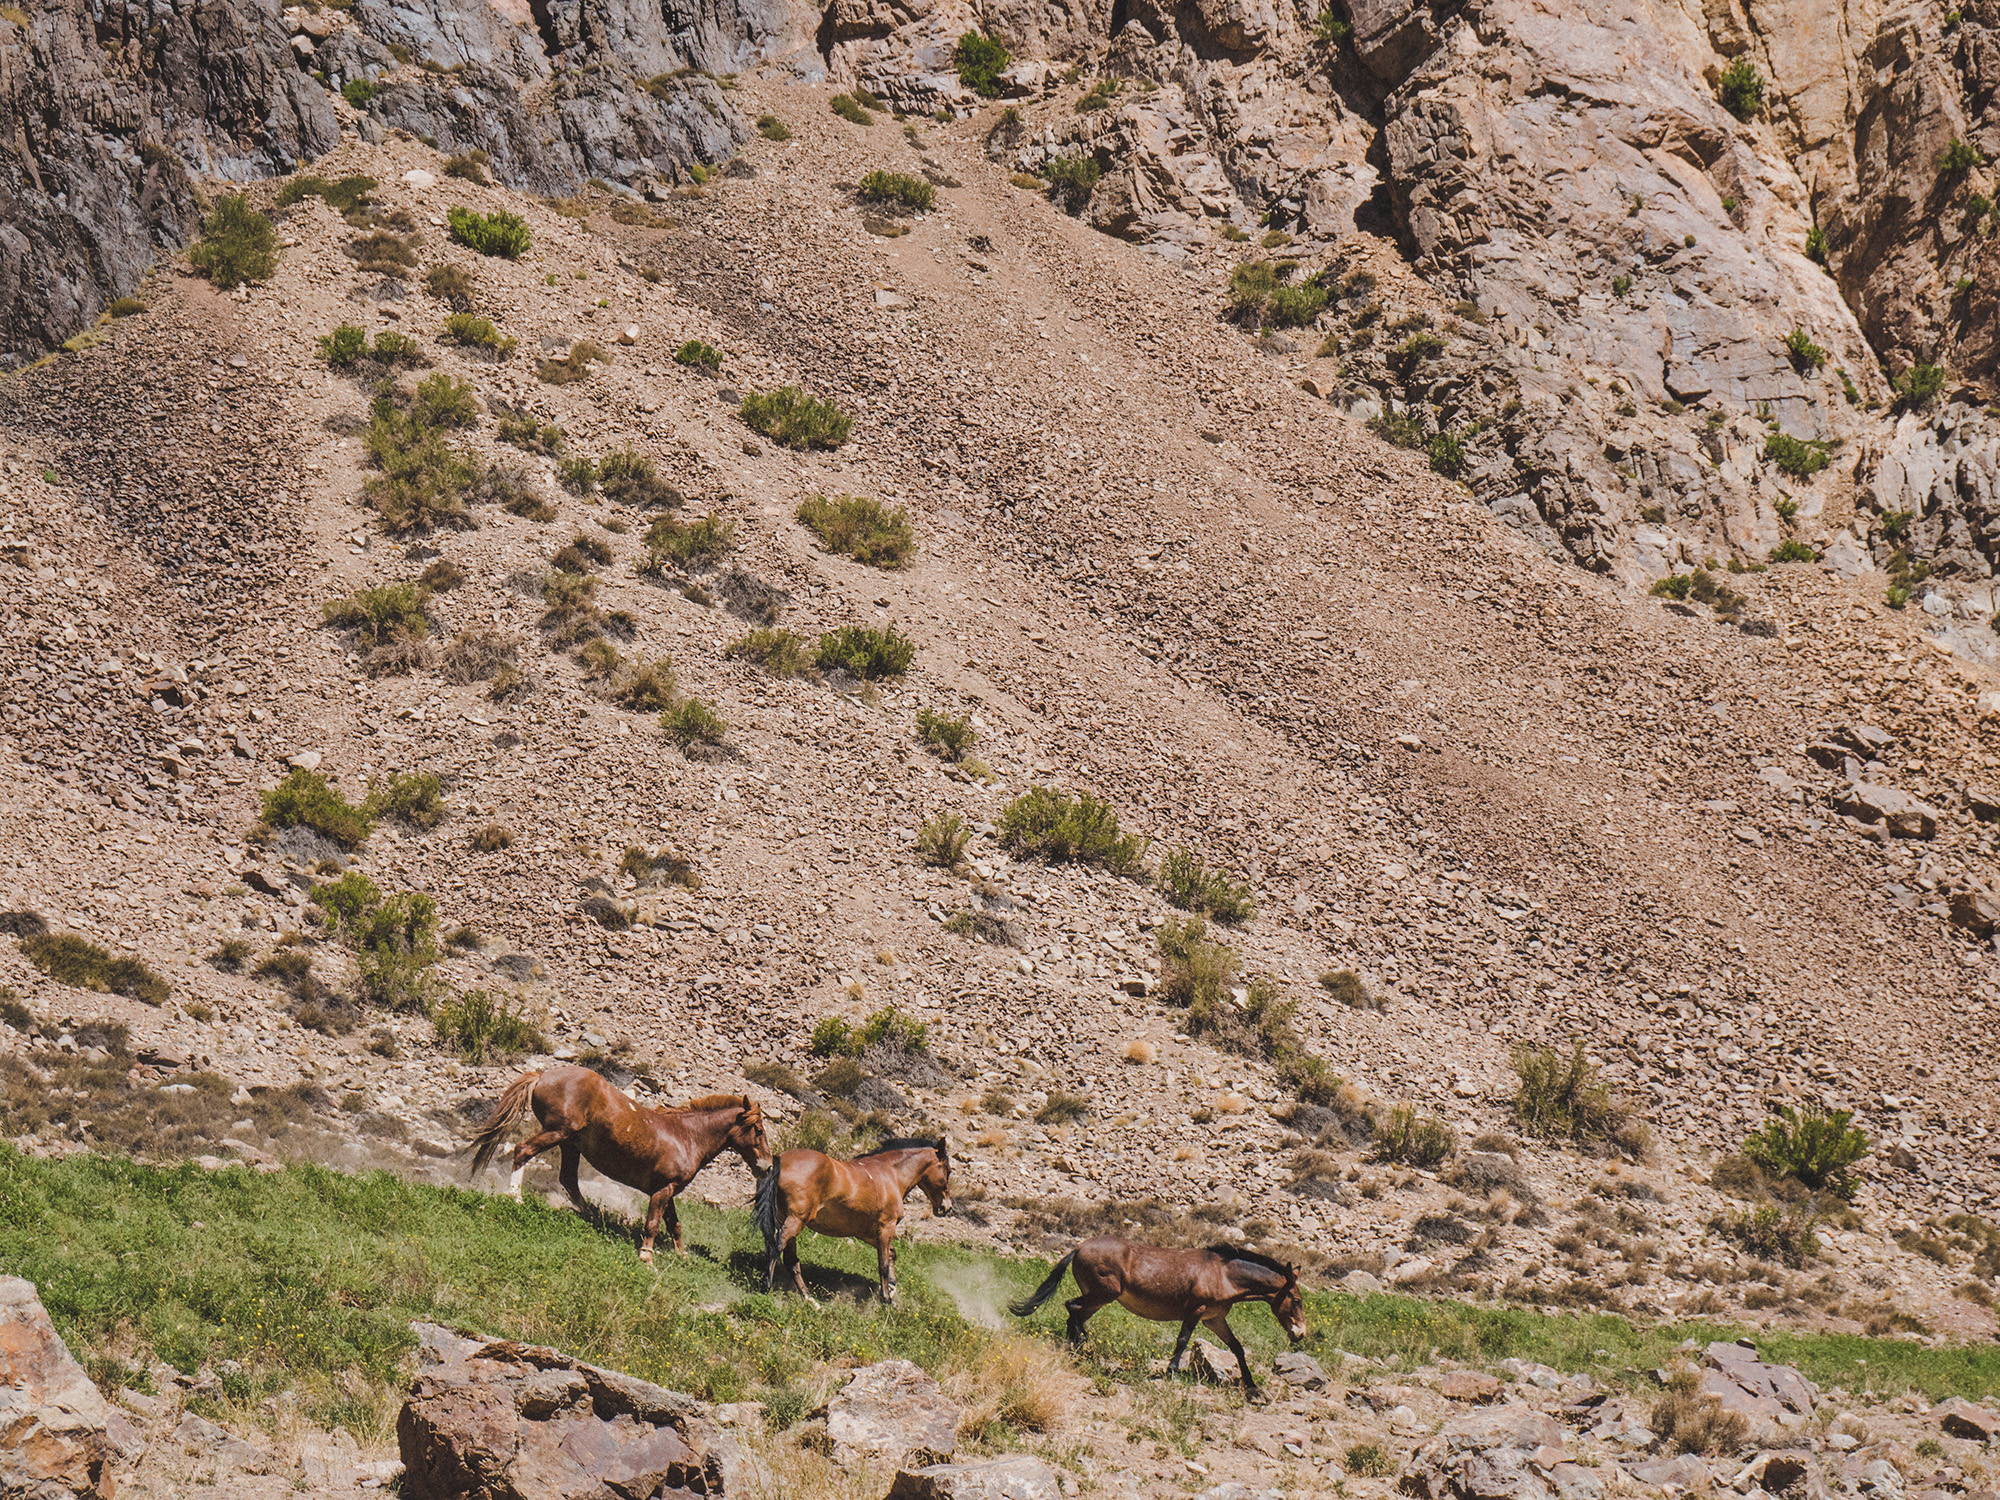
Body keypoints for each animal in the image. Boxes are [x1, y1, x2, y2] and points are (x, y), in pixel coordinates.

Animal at [468, 1072, 772, 1272]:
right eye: (758, 1130)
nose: (767, 1166)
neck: (687, 1136)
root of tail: (543, 1075)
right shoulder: (662, 1190)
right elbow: (652, 1223)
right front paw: (647, 1257)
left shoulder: (669, 1190)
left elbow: (675, 1224)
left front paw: (682, 1255)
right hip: (557, 1132)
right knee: (522, 1151)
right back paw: (516, 1198)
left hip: (570, 1143)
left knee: (568, 1179)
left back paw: (591, 1214)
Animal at [756, 1136, 960, 1304]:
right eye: (948, 1170)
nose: (946, 1207)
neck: (890, 1174)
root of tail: (779, 1159)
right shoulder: (886, 1227)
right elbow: (883, 1264)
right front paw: (886, 1298)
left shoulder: (867, 1233)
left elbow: (891, 1254)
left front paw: (891, 1287)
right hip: (795, 1220)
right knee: (777, 1247)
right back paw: (766, 1285)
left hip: (788, 1220)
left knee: (791, 1261)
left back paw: (809, 1299)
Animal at [1008, 1232, 1304, 1400]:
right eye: (1298, 1301)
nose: (1300, 1334)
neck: (1223, 1275)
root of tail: (1079, 1248)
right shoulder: (1195, 1311)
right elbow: (1183, 1341)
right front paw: (1171, 1372)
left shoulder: (1214, 1319)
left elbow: (1237, 1348)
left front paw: (1252, 1387)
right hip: (1104, 1294)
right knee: (1072, 1309)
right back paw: (1081, 1347)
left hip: (1099, 1297)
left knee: (1075, 1313)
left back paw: (1079, 1349)